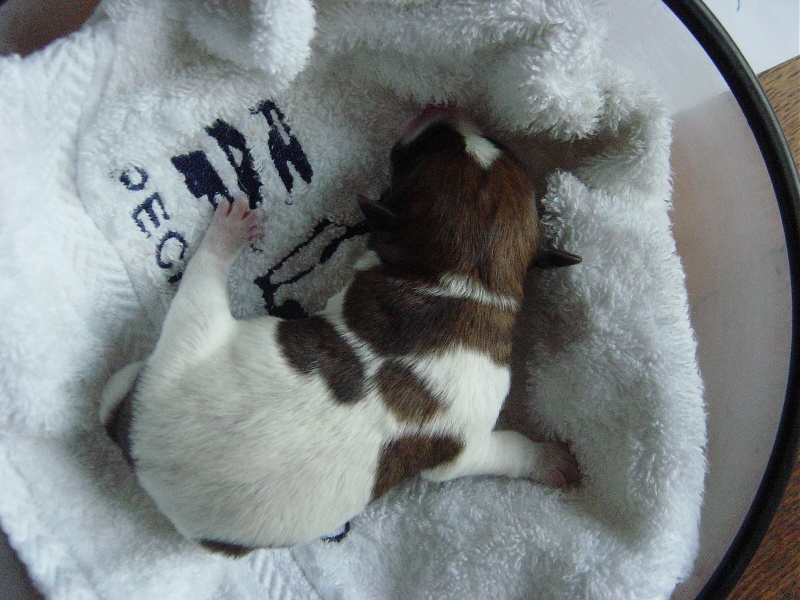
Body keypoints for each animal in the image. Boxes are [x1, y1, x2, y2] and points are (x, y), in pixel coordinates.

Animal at [100, 106, 581, 556]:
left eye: (497, 145)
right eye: (419, 154)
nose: (440, 108)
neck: (463, 278)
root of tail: (137, 441)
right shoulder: (464, 447)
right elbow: (506, 448)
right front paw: (549, 459)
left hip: (195, 333)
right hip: (199, 328)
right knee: (203, 274)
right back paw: (225, 235)